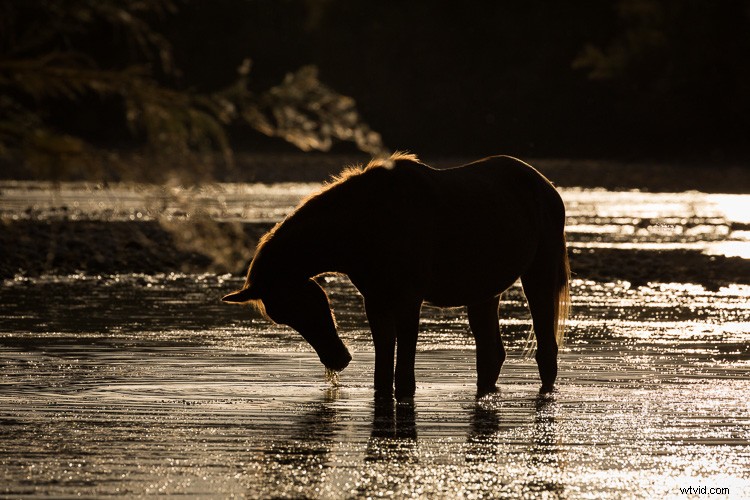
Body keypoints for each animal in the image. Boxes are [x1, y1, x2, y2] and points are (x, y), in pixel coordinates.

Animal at [223, 152, 570, 398]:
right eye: (285, 316)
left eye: (306, 303)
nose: (337, 359)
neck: (367, 223)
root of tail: (547, 187)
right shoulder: (376, 302)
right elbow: (382, 372)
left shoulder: (408, 301)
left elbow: (403, 375)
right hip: (484, 292)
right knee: (491, 355)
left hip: (538, 274)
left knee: (545, 350)